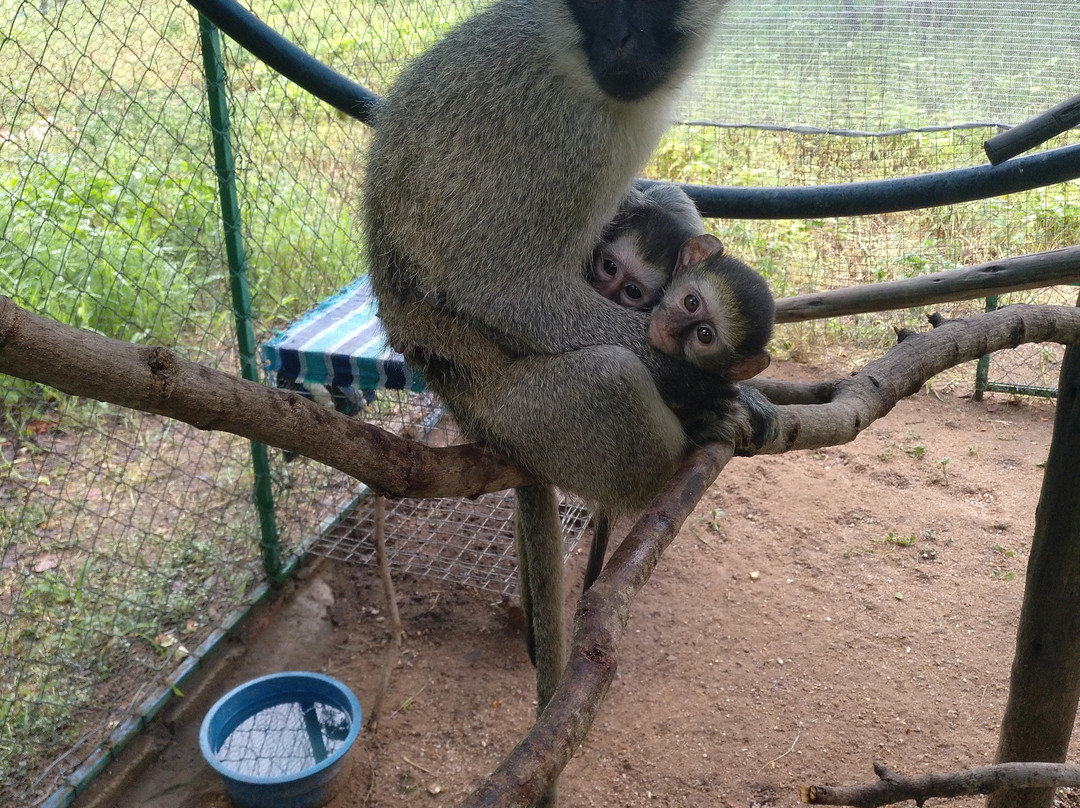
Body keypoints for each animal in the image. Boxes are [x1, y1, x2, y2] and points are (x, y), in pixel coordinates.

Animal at [363, 4, 777, 799]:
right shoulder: (557, 134)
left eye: (649, 15)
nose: (622, 47)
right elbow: (499, 285)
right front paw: (688, 381)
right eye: (604, 12)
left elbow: (655, 200)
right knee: (608, 381)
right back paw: (677, 445)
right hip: (506, 407)